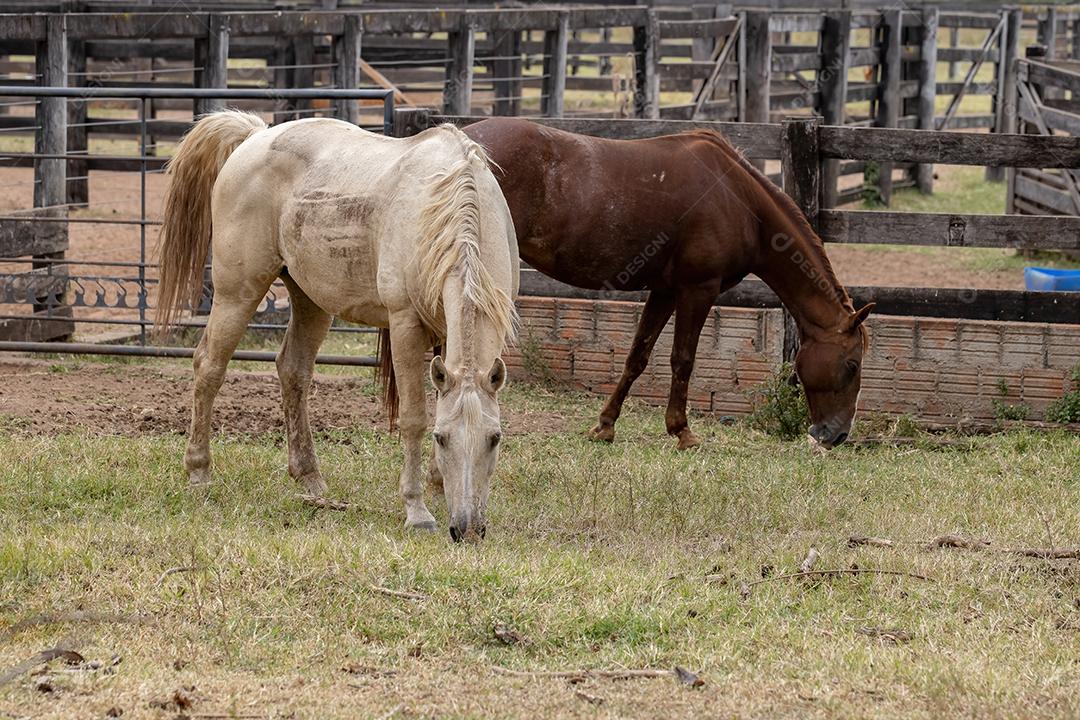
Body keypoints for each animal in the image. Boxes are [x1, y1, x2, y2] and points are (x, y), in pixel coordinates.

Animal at [156, 111, 519, 541]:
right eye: (442, 438)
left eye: (494, 439)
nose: (467, 528)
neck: (449, 203)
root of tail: (255, 136)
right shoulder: (405, 324)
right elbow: (414, 416)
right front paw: (417, 508)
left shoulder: (448, 335)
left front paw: (435, 485)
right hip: (236, 293)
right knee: (209, 366)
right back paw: (199, 472)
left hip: (309, 300)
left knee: (293, 371)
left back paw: (309, 478)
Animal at [463, 118, 872, 451]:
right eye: (852, 365)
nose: (836, 434)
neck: (737, 197)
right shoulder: (698, 289)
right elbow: (683, 359)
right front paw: (682, 431)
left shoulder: (664, 291)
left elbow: (638, 356)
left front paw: (605, 426)